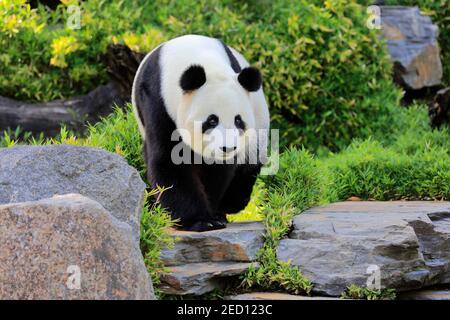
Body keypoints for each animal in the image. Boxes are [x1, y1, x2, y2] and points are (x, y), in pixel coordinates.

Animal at [132, 34, 268, 230]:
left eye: (238, 120)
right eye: (212, 120)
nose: (227, 148)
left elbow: (218, 171)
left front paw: (212, 214)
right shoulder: (157, 102)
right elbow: (169, 160)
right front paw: (201, 220)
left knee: (248, 164)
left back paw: (229, 205)